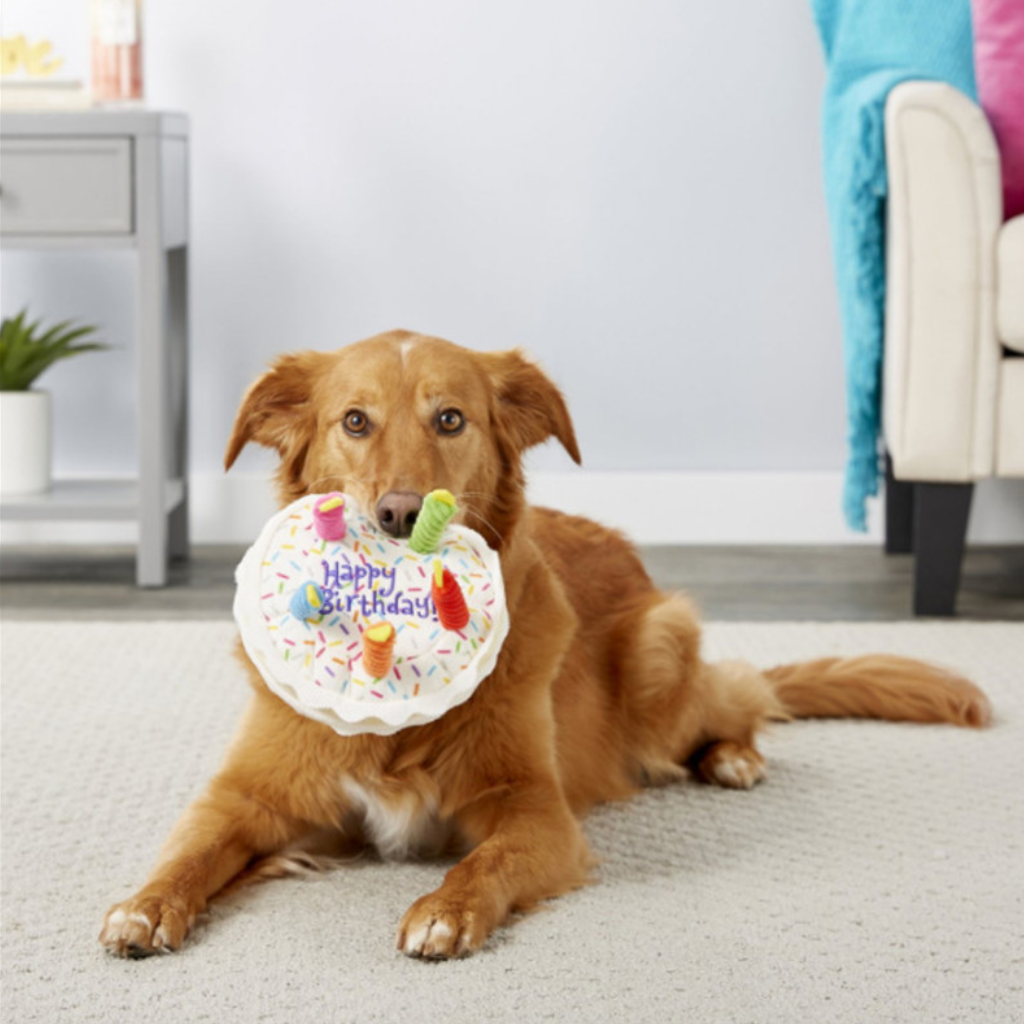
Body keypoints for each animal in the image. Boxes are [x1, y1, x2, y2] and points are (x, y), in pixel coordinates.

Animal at [99, 327, 987, 958]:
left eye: (450, 419)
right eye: (354, 421)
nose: (399, 513)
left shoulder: (537, 812)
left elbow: (482, 863)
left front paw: (444, 912)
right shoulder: (249, 795)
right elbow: (191, 850)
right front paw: (145, 907)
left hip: (660, 653)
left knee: (738, 695)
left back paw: (733, 757)